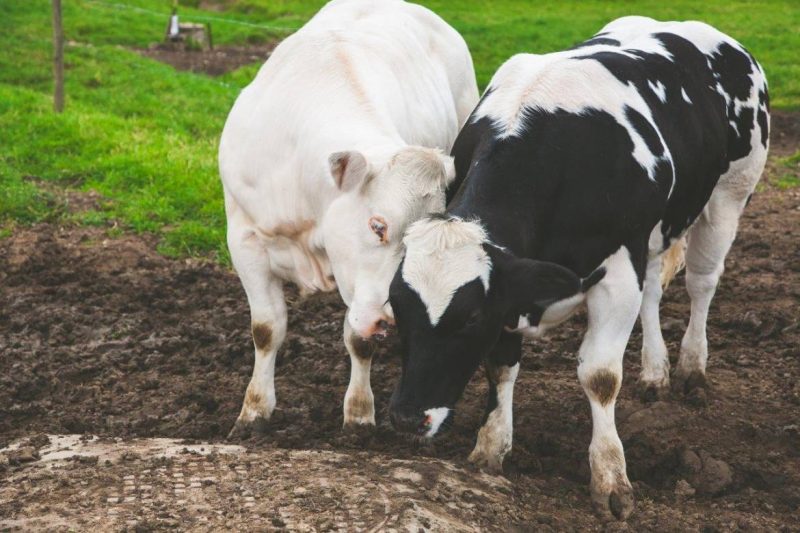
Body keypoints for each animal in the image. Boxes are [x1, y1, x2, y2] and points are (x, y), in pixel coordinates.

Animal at [219, 0, 479, 437]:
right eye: (378, 226)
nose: (392, 319)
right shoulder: (245, 239)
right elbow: (267, 329)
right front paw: (254, 411)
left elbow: (359, 339)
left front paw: (358, 414)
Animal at [387, 16, 769, 520]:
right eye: (396, 307)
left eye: (468, 318)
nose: (407, 418)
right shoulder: (512, 286)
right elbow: (501, 366)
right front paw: (491, 448)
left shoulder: (616, 267)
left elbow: (600, 377)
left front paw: (611, 480)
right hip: (653, 234)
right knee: (653, 291)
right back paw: (655, 372)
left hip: (731, 191)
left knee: (702, 282)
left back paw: (691, 367)